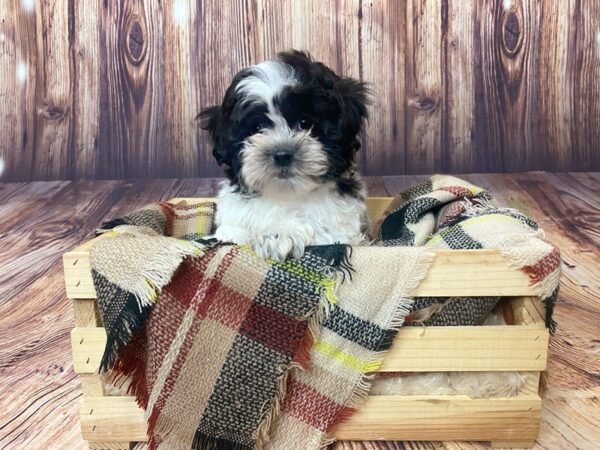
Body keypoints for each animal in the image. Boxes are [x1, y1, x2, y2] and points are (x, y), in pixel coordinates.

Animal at [202, 49, 370, 262]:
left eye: (305, 123)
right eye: (258, 127)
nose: (282, 155)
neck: (288, 196)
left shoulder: (343, 229)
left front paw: (280, 235)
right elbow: (234, 233)